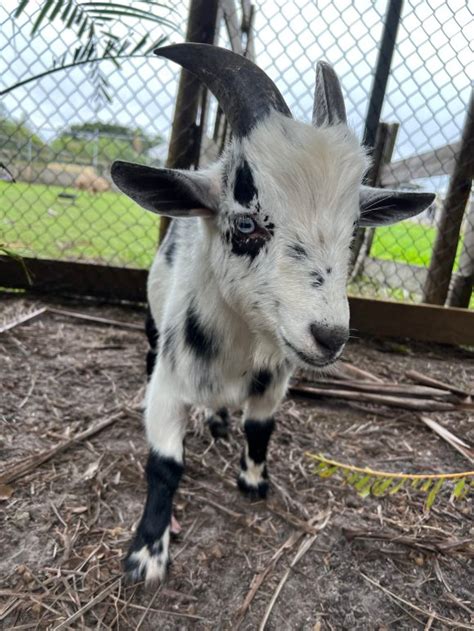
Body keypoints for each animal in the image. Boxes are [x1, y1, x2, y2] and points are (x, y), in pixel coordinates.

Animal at [110, 45, 434, 588]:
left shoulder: (274, 380)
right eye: (246, 224)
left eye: (354, 229)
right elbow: (164, 465)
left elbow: (261, 429)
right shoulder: (170, 387)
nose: (329, 336)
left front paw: (254, 481)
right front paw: (147, 555)